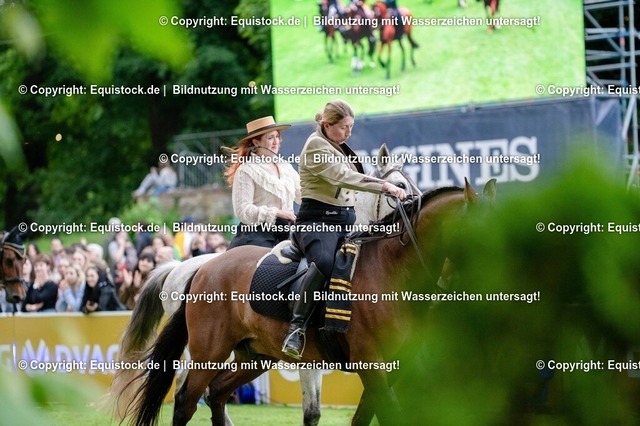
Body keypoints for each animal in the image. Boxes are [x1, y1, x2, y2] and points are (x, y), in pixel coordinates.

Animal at [118, 177, 496, 426]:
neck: (391, 270)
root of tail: (203, 267)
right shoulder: (372, 364)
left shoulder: (394, 367)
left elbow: (362, 418)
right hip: (209, 353)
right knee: (186, 401)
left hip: (255, 356)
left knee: (217, 394)